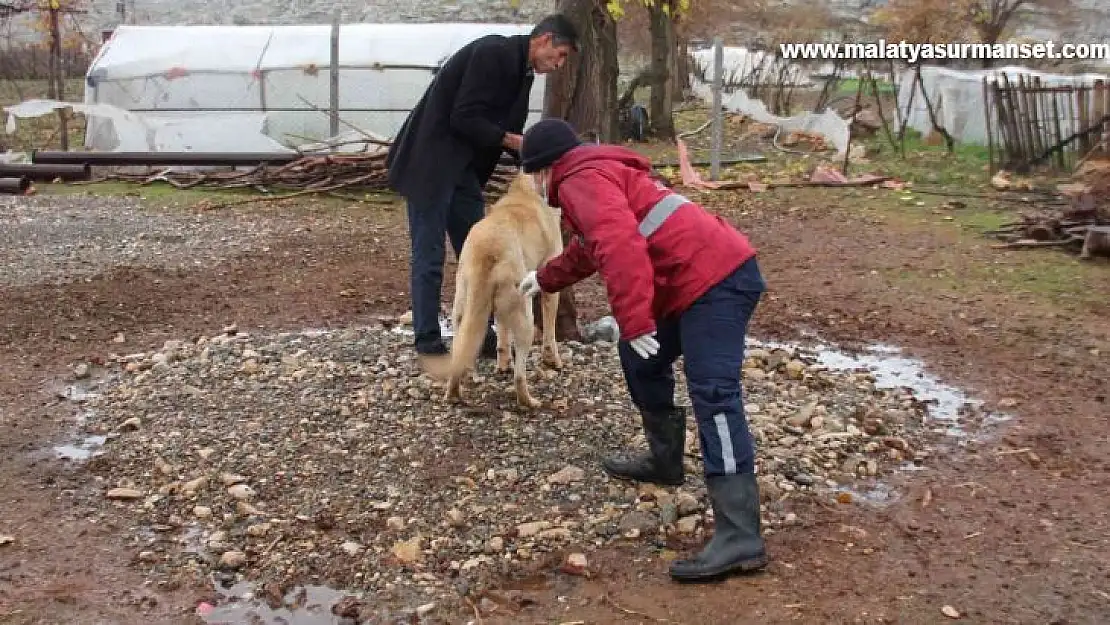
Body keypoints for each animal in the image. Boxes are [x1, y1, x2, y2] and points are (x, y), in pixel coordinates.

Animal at [419, 170, 568, 408]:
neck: (525, 190)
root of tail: (487, 249)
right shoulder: (549, 289)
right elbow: (550, 333)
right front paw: (553, 360)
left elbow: (503, 336)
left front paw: (503, 363)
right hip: (524, 316)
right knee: (519, 376)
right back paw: (529, 402)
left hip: (463, 313)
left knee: (460, 356)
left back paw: (456, 392)